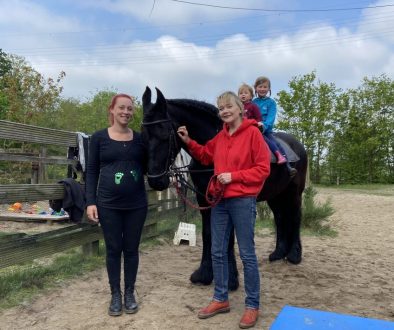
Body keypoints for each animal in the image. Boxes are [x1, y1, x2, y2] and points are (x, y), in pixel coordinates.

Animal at [142, 86, 308, 290]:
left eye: (165, 134)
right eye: (143, 134)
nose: (155, 181)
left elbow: (227, 238)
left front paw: (230, 279)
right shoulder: (204, 199)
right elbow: (208, 233)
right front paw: (204, 274)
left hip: (294, 193)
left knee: (295, 217)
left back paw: (294, 255)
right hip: (276, 195)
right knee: (280, 218)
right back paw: (278, 253)